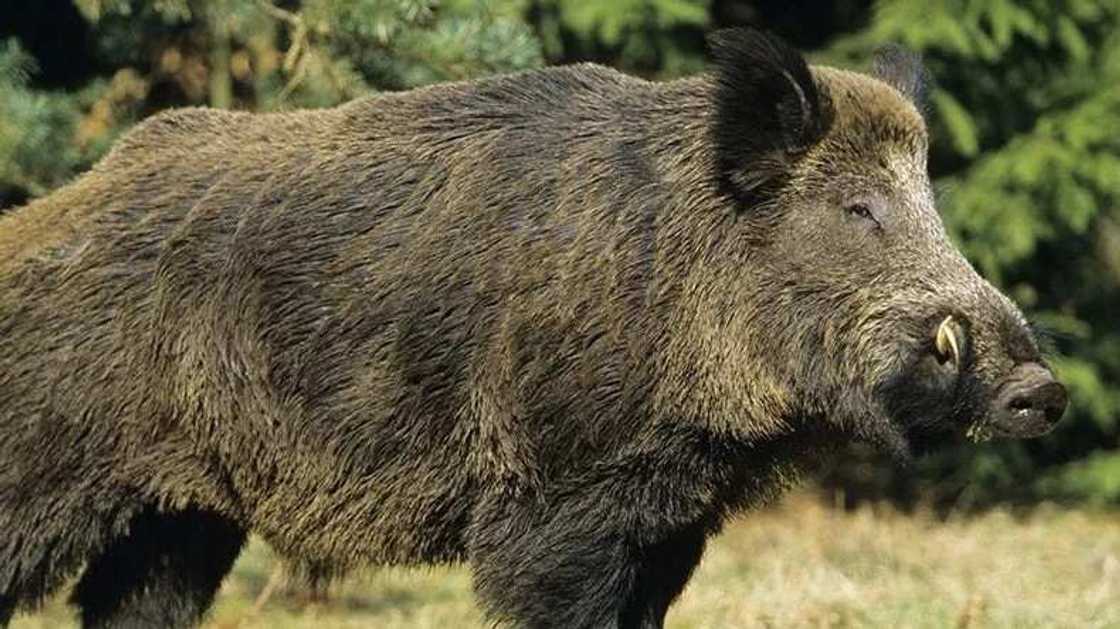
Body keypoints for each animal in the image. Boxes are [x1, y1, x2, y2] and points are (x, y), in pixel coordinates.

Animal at [0, 28, 1066, 629]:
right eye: (856, 209)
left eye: (926, 198)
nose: (1042, 389)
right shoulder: (554, 499)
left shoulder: (670, 519)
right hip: (48, 468)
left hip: (184, 512)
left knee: (129, 599)